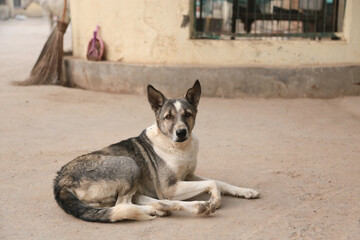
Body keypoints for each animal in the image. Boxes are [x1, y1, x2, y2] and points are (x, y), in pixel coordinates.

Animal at [53, 79, 258, 222]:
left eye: (187, 115)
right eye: (168, 117)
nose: (181, 132)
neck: (178, 146)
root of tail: (60, 183)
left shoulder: (188, 175)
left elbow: (219, 182)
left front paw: (245, 191)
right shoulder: (170, 187)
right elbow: (213, 183)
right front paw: (215, 200)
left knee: (148, 202)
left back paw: (168, 208)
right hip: (130, 164)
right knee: (125, 204)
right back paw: (192, 206)